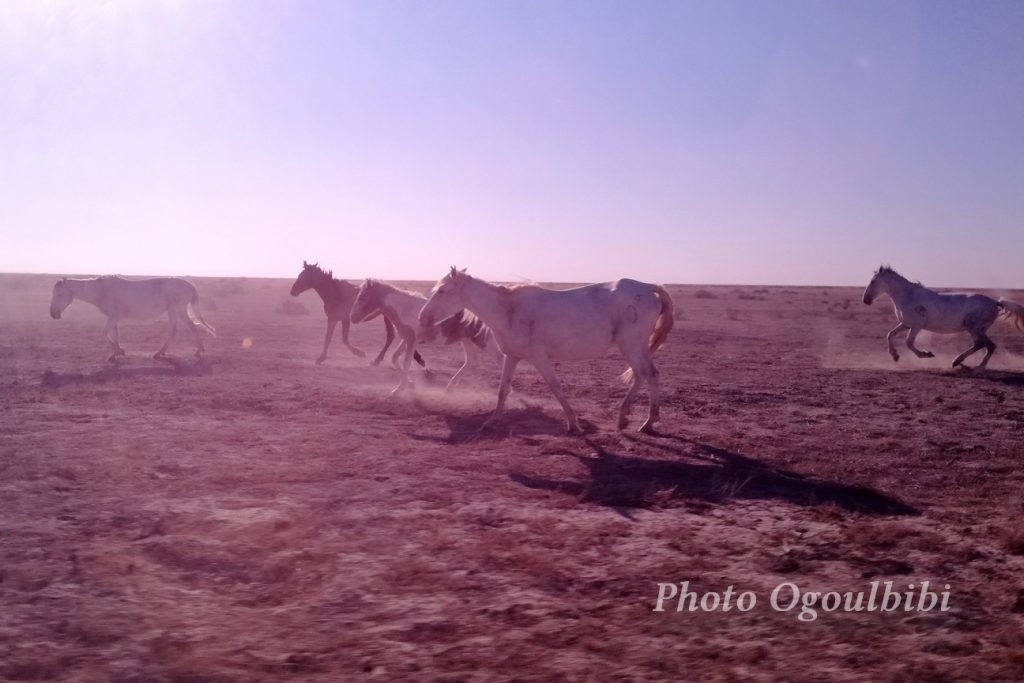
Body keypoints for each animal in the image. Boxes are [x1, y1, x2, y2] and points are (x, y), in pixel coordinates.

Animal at [49, 276, 216, 361]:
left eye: (59, 294)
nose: (53, 314)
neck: (102, 290)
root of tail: (190, 285)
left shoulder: (114, 317)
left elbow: (104, 333)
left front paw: (119, 351)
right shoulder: (114, 318)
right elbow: (115, 334)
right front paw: (116, 353)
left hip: (175, 311)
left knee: (173, 331)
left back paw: (159, 353)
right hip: (180, 311)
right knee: (192, 327)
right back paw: (199, 351)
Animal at [290, 261, 423, 368]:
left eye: (303, 276)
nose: (292, 291)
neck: (336, 293)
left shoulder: (345, 319)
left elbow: (344, 339)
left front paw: (359, 353)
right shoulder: (332, 319)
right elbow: (327, 338)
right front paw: (321, 358)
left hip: (388, 318)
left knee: (390, 336)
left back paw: (376, 361)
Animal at [350, 279, 501, 395]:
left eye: (362, 296)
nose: (353, 318)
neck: (405, 308)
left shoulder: (411, 341)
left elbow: (406, 362)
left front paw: (398, 390)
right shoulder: (407, 339)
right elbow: (394, 357)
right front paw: (410, 383)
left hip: (484, 341)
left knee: (500, 358)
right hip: (466, 340)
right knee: (471, 360)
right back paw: (449, 388)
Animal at [419, 267, 675, 434]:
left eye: (442, 291)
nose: (422, 318)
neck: (509, 310)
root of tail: (647, 287)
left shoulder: (540, 359)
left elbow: (556, 387)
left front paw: (573, 424)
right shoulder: (512, 357)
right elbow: (503, 390)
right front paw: (491, 421)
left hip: (630, 344)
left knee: (644, 374)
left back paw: (631, 419)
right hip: (638, 347)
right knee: (650, 375)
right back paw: (643, 421)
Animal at [863, 265, 1024, 368]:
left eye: (873, 281)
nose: (866, 300)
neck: (908, 296)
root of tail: (995, 302)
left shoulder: (916, 326)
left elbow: (909, 342)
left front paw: (926, 354)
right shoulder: (906, 324)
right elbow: (890, 335)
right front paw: (895, 356)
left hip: (974, 327)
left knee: (985, 345)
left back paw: (969, 364)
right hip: (977, 328)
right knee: (985, 345)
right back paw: (964, 363)